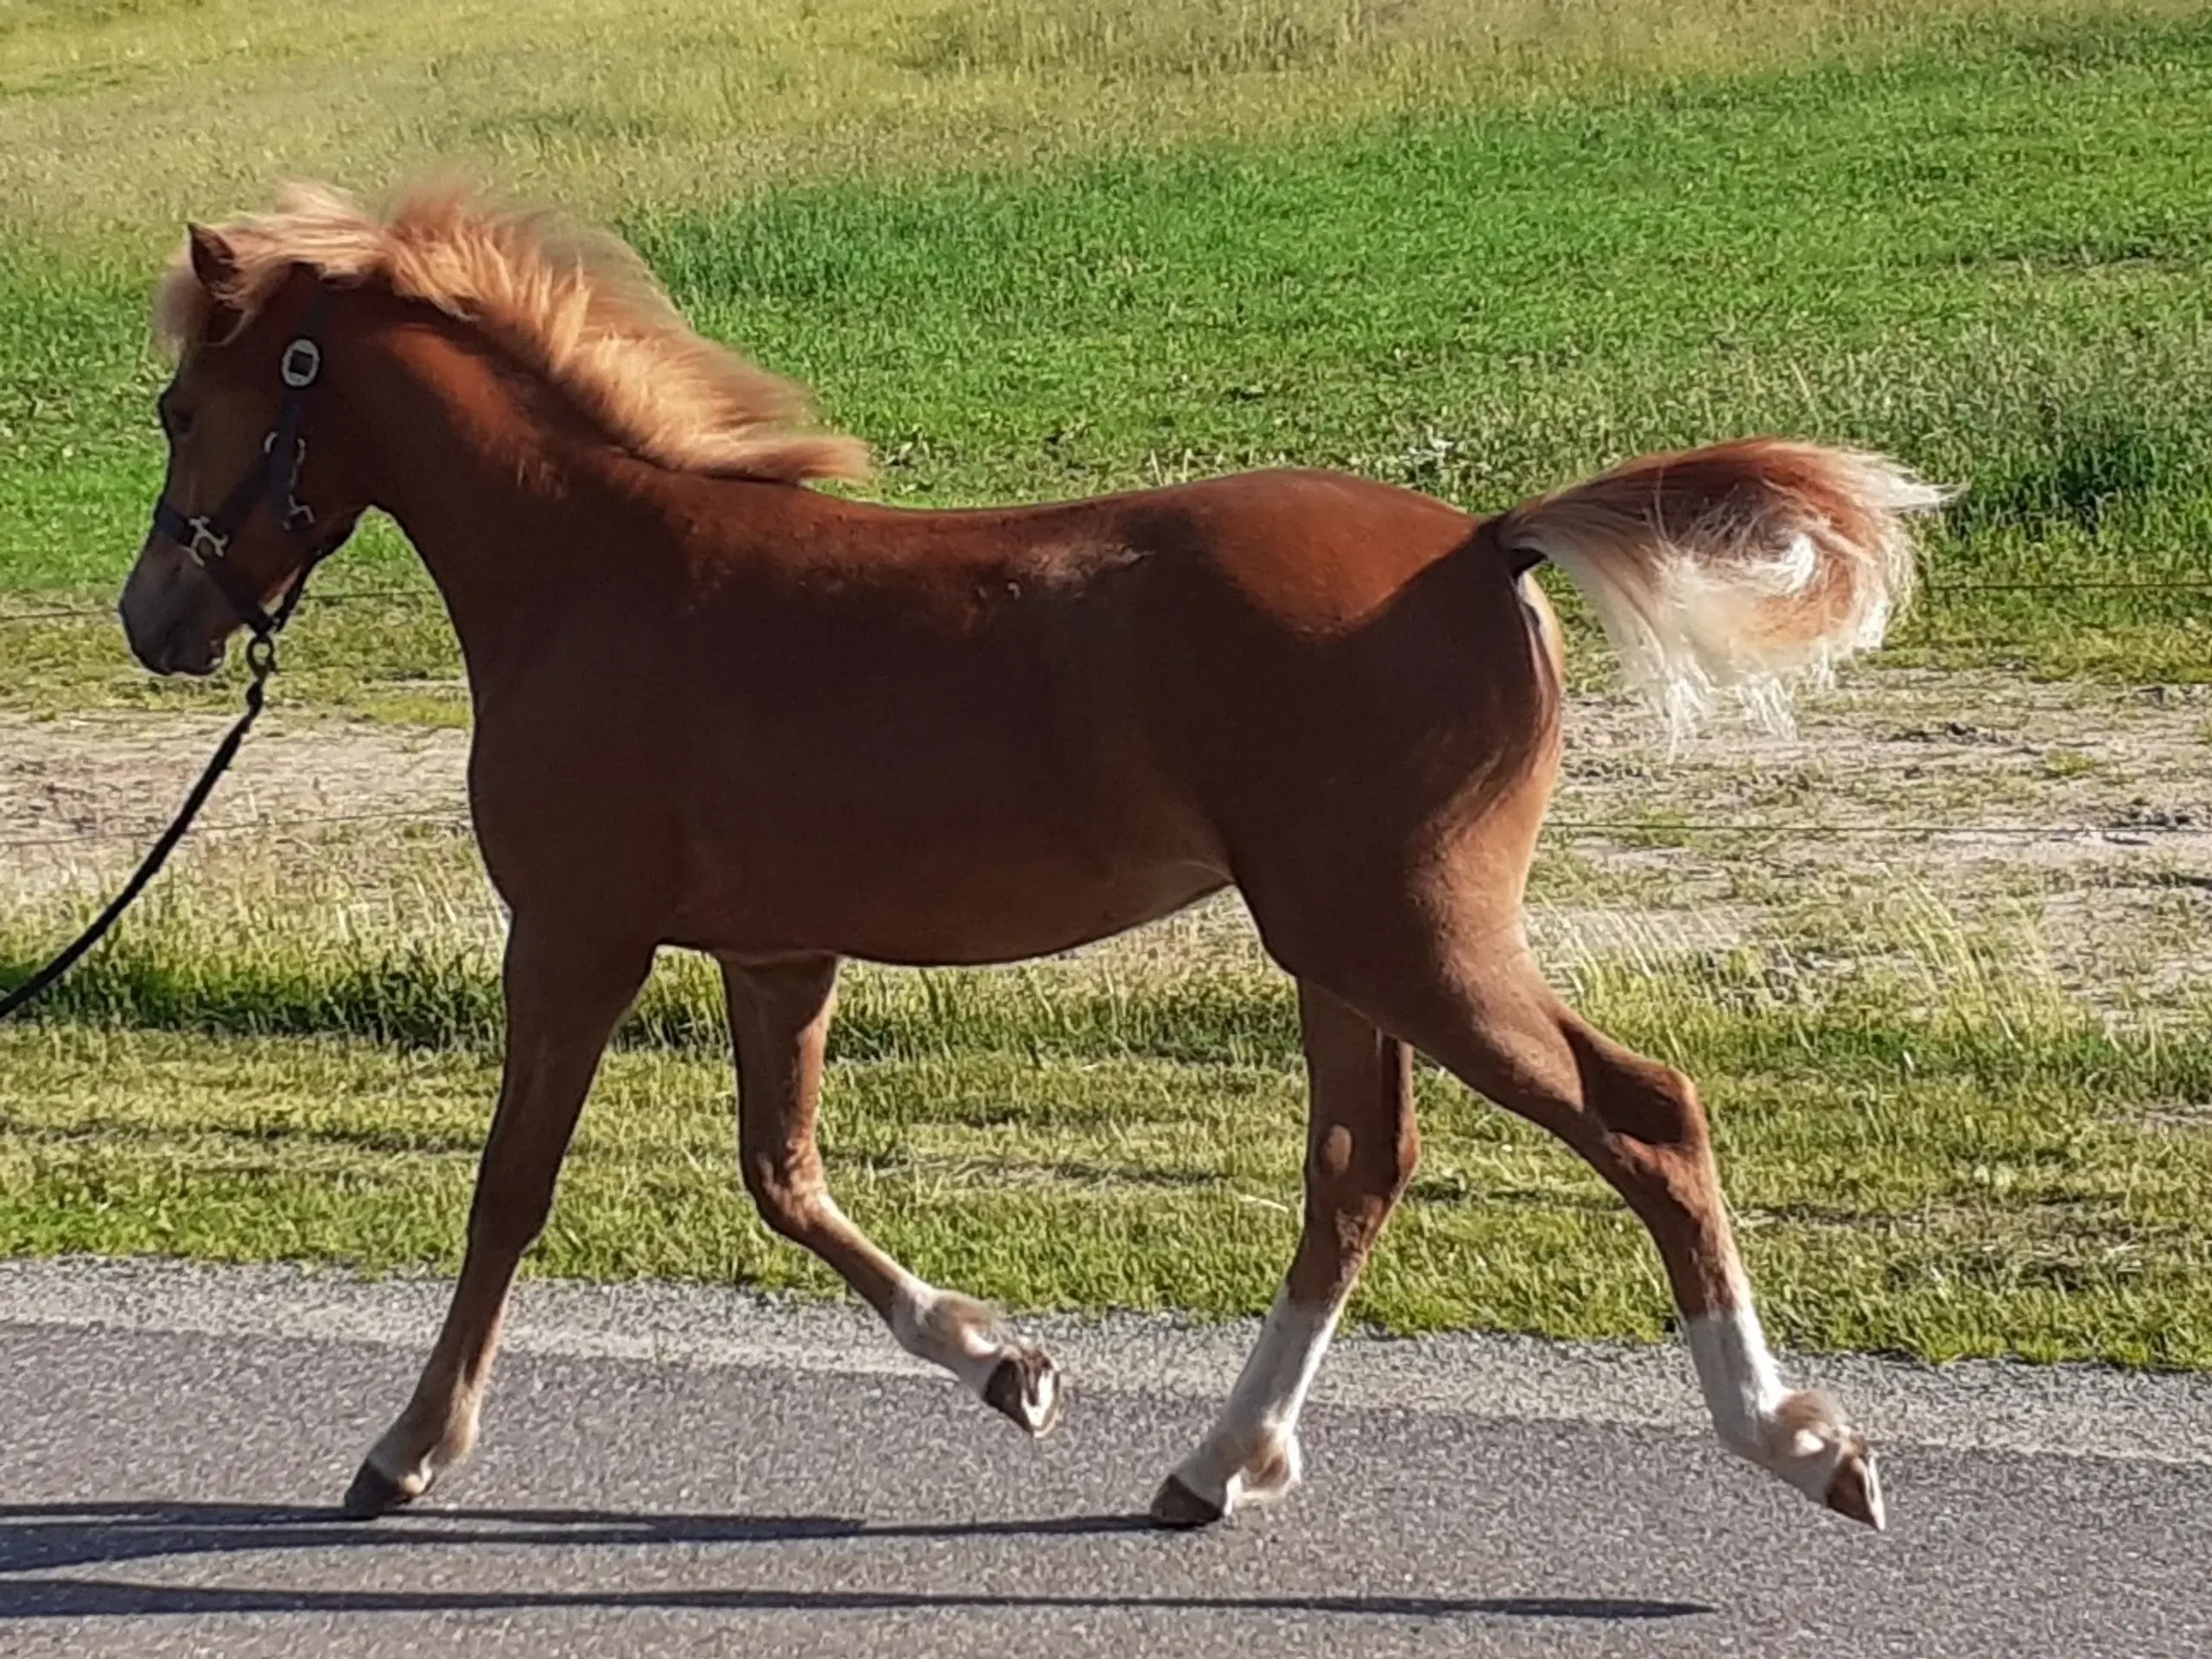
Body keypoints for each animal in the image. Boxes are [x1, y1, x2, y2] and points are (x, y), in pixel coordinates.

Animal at [125, 181, 1937, 1530]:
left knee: (1646, 1116)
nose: (156, 621)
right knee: (1357, 1173)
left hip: (1412, 939)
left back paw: (1801, 1442)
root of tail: (1487, 547)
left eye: (179, 405)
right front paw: (1006, 1366)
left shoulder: (576, 934)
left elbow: (512, 1190)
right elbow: (784, 1179)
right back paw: (1220, 1464)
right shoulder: (777, 948)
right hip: (1343, 954)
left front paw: (406, 1451)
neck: (596, 570)